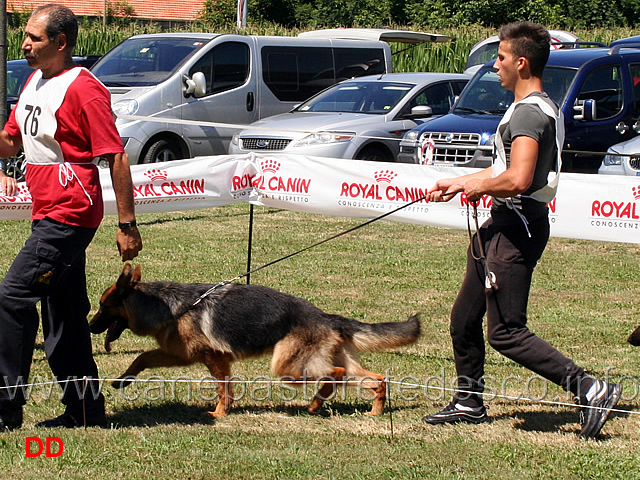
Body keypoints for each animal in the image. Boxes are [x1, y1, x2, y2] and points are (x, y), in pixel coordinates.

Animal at [90, 264, 420, 418]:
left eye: (103, 307)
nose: (90, 326)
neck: (170, 306)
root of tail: (326, 317)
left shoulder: (213, 358)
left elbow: (223, 389)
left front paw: (220, 414)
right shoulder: (181, 355)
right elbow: (142, 356)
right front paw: (122, 380)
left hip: (288, 368)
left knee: (333, 375)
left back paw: (317, 402)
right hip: (333, 364)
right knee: (376, 379)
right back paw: (374, 411)